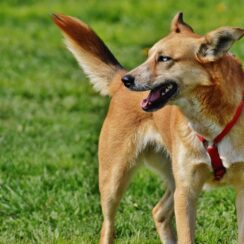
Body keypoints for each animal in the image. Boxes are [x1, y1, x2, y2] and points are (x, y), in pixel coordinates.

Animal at [52, 12, 243, 243]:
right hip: (115, 179)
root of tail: (119, 80)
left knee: (158, 212)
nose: (127, 80)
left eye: (164, 59)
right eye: (150, 55)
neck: (211, 123)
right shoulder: (186, 191)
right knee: (108, 225)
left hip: (172, 181)